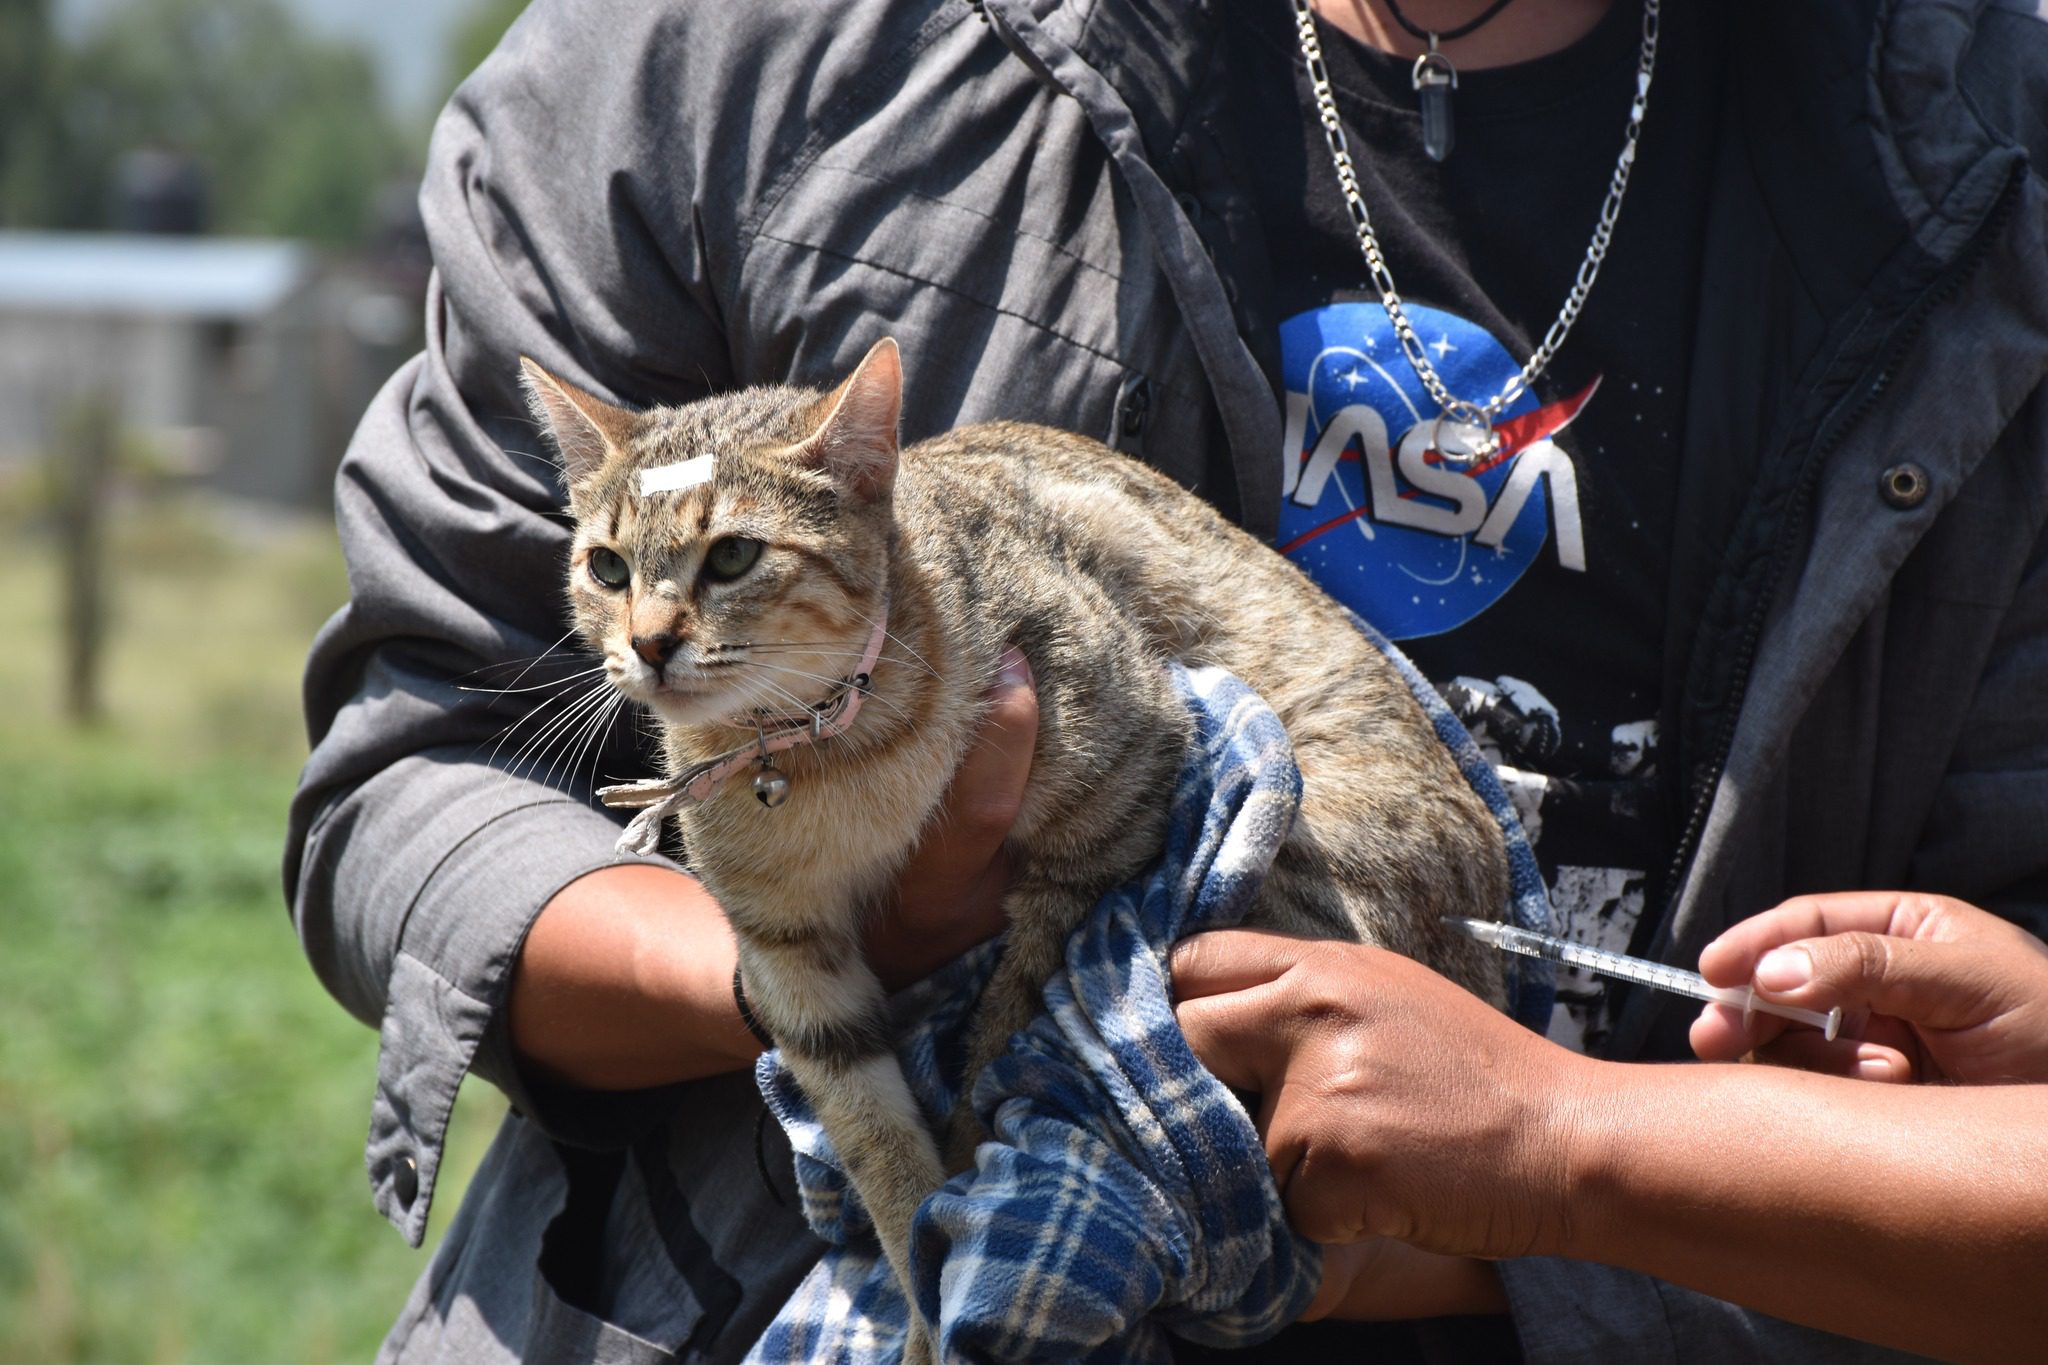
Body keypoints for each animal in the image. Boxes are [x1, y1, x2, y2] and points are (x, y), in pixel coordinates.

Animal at [520, 339, 1515, 1358]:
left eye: (732, 554)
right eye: (605, 566)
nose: (648, 643)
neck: (819, 753)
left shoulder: (1111, 816)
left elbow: (996, 1052)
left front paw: (952, 1253)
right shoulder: (792, 961)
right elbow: (876, 1146)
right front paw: (920, 1288)